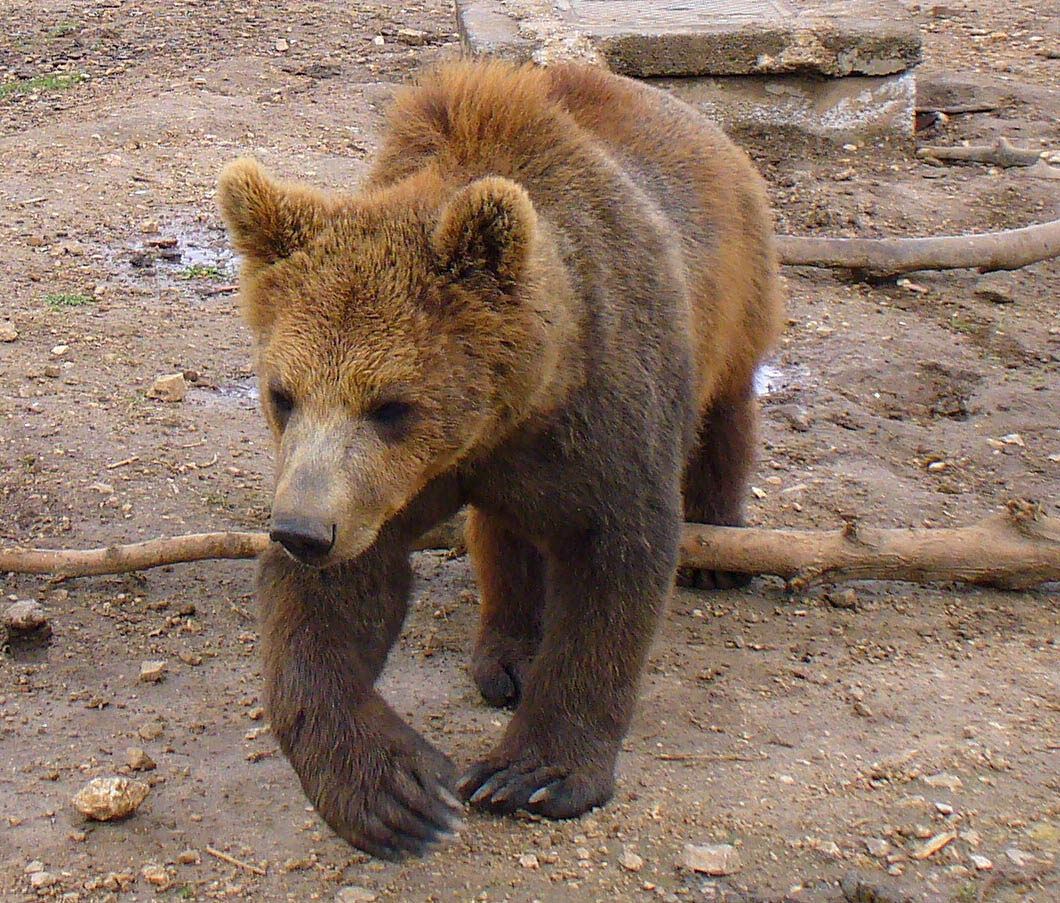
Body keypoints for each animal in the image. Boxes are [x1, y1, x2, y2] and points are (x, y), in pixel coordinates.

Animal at [217, 58, 783, 859]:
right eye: (282, 393)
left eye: (391, 403)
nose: (301, 530)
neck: (511, 410)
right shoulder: (389, 485)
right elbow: (334, 602)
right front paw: (391, 789)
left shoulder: (607, 413)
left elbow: (618, 564)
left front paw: (535, 773)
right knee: (505, 532)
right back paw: (506, 653)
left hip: (736, 285)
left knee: (728, 404)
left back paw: (719, 538)